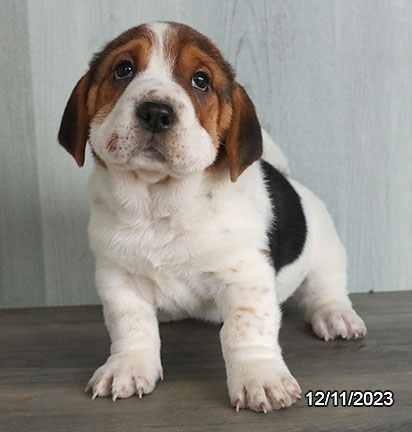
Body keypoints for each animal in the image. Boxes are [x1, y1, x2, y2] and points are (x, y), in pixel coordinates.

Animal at [58, 22, 366, 414]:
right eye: (123, 70)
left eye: (201, 80)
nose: (156, 112)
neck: (162, 207)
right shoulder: (118, 279)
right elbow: (131, 326)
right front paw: (127, 366)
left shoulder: (246, 277)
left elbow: (245, 331)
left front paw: (258, 377)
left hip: (325, 252)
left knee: (326, 289)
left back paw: (335, 315)